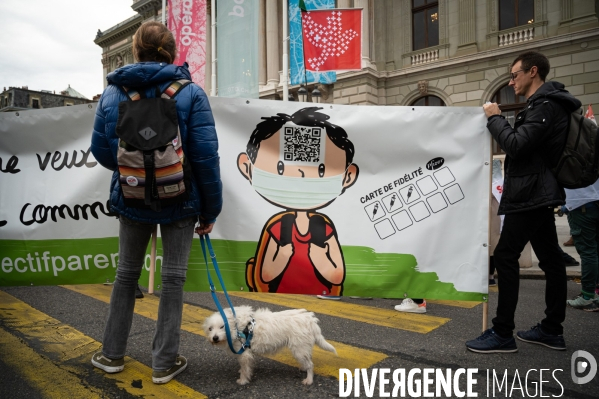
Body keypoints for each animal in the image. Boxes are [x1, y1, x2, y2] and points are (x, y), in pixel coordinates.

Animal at [204, 304, 338, 386]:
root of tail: (310, 320)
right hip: (303, 348)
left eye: (222, 326)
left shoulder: (245, 353)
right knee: (308, 360)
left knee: (311, 365)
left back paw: (308, 380)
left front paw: (243, 380)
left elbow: (245, 369)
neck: (236, 326)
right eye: (210, 328)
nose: (215, 338)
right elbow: (243, 366)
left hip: (299, 349)